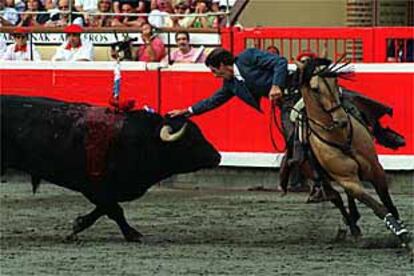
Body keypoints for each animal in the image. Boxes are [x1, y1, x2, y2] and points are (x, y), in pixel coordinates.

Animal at [1, 95, 222, 242]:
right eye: (189, 142)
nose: (217, 157)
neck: (143, 139)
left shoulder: (106, 189)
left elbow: (105, 209)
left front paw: (78, 225)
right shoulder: (94, 186)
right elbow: (115, 210)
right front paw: (132, 234)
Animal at [292, 56, 412, 256]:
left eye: (336, 82)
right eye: (315, 89)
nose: (341, 119)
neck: (339, 136)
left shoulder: (376, 170)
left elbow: (388, 203)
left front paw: (401, 232)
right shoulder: (348, 180)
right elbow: (377, 206)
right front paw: (402, 235)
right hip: (322, 179)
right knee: (338, 199)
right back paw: (355, 231)